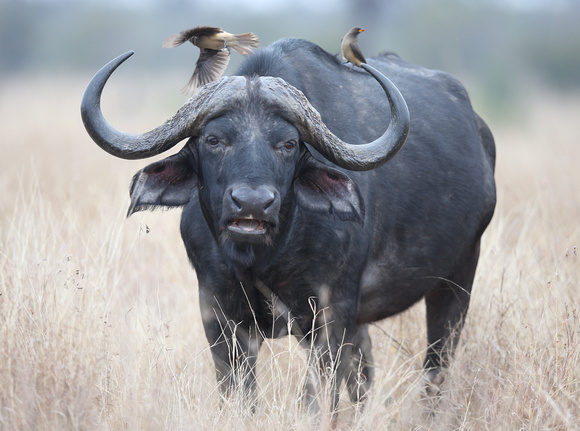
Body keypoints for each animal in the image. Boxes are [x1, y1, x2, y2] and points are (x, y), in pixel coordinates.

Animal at [81, 38, 496, 414]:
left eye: (288, 144)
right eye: (213, 139)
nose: (252, 203)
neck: (264, 257)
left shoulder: (330, 316)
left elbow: (316, 398)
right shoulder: (219, 314)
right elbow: (239, 394)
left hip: (457, 280)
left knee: (434, 369)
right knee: (364, 378)